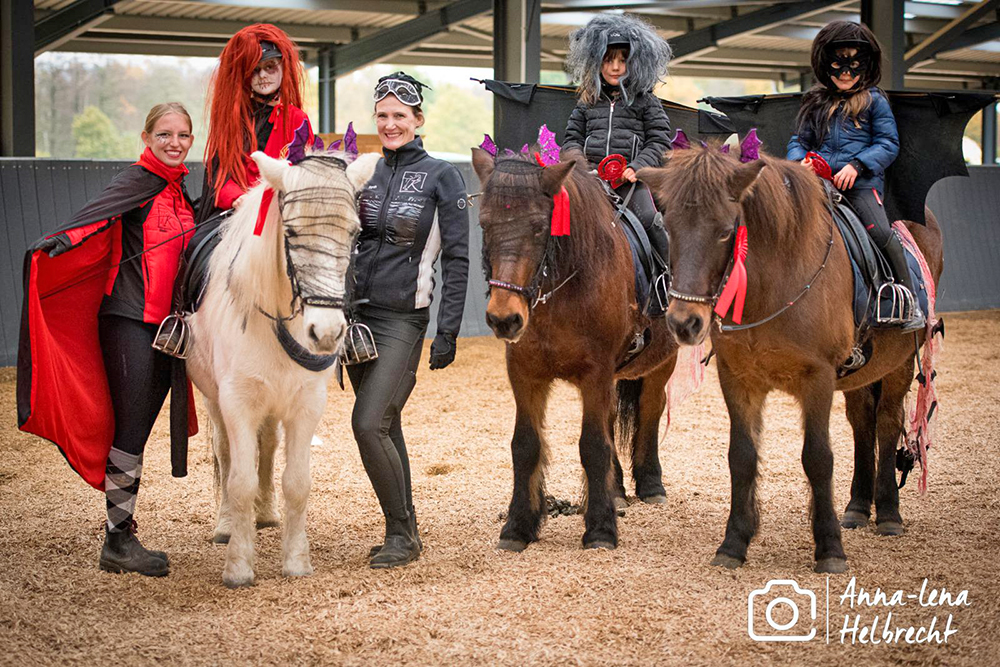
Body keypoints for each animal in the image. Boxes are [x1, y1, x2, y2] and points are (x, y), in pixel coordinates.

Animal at [186, 149, 376, 588]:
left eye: (355, 234)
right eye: (290, 232)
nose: (327, 333)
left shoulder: (307, 404)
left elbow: (297, 483)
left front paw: (296, 561)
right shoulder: (237, 402)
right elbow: (239, 481)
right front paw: (239, 567)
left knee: (269, 447)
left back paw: (267, 513)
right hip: (214, 398)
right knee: (225, 454)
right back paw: (227, 526)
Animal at [470, 149, 680, 552]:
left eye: (540, 227)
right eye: (485, 224)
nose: (504, 319)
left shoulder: (595, 374)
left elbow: (593, 446)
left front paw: (600, 529)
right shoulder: (525, 374)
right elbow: (525, 446)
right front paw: (518, 527)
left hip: (662, 362)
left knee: (650, 409)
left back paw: (651, 484)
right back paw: (617, 491)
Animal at [636, 146, 940, 576]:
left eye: (726, 231)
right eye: (670, 229)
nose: (684, 322)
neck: (773, 283)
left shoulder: (818, 378)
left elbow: (818, 458)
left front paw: (829, 548)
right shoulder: (738, 378)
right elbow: (741, 456)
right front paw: (734, 542)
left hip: (897, 364)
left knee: (886, 423)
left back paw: (888, 515)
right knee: (863, 423)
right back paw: (858, 507)